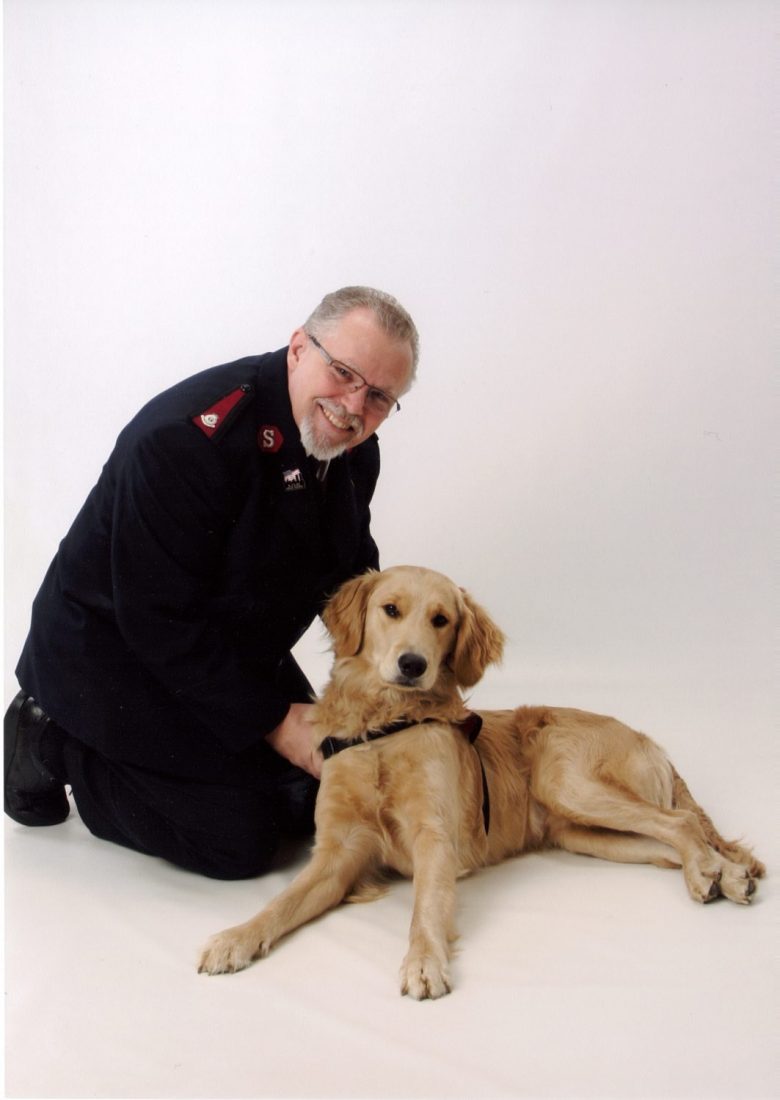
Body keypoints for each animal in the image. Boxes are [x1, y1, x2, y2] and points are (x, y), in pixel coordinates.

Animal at [198, 567, 765, 998]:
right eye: (390, 609)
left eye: (441, 620)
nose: (412, 664)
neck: (386, 728)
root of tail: (649, 739)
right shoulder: (337, 853)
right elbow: (280, 903)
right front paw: (234, 939)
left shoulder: (435, 839)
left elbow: (425, 907)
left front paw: (423, 962)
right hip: (583, 833)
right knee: (671, 841)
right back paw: (721, 874)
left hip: (566, 781)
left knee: (682, 820)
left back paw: (713, 873)